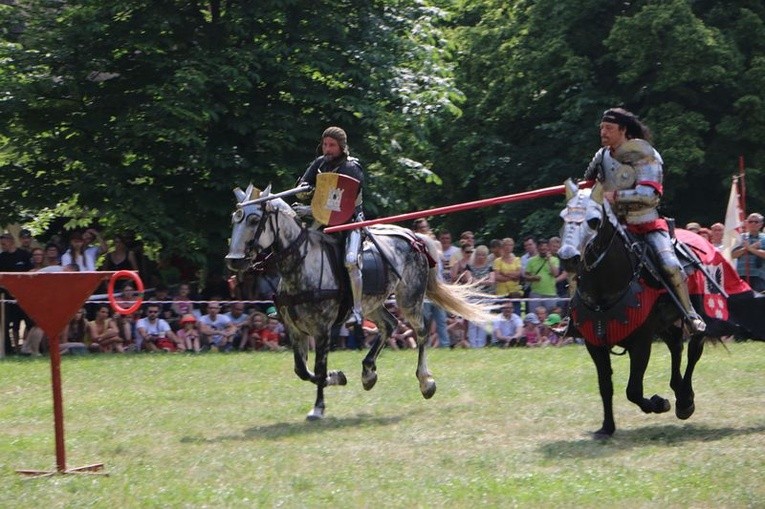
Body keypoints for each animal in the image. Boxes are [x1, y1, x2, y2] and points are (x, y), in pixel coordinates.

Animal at [224, 185, 492, 418]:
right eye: (235, 220)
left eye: (253, 220)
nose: (233, 260)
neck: (301, 265)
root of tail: (414, 238)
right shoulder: (294, 330)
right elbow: (302, 370)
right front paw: (339, 377)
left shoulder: (322, 330)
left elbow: (319, 371)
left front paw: (319, 407)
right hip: (371, 304)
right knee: (389, 325)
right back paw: (368, 372)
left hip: (409, 298)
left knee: (421, 331)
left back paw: (426, 381)